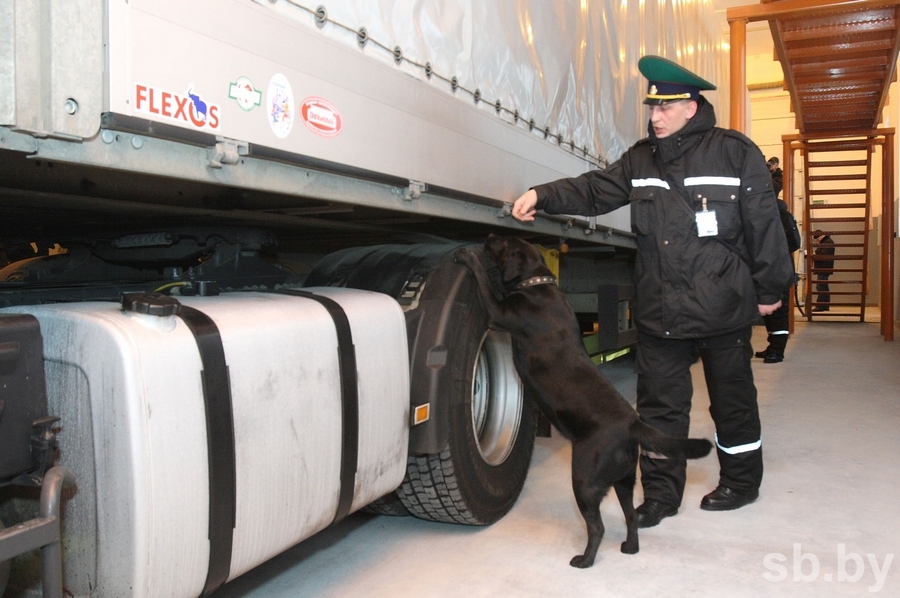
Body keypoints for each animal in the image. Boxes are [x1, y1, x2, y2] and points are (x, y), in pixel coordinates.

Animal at [454, 237, 712, 568]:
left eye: (503, 244)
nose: (487, 237)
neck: (538, 284)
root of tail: (633, 424)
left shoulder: (500, 313)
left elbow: (487, 285)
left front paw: (469, 258)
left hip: (584, 481)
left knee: (597, 526)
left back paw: (584, 560)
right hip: (625, 481)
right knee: (630, 517)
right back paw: (630, 547)